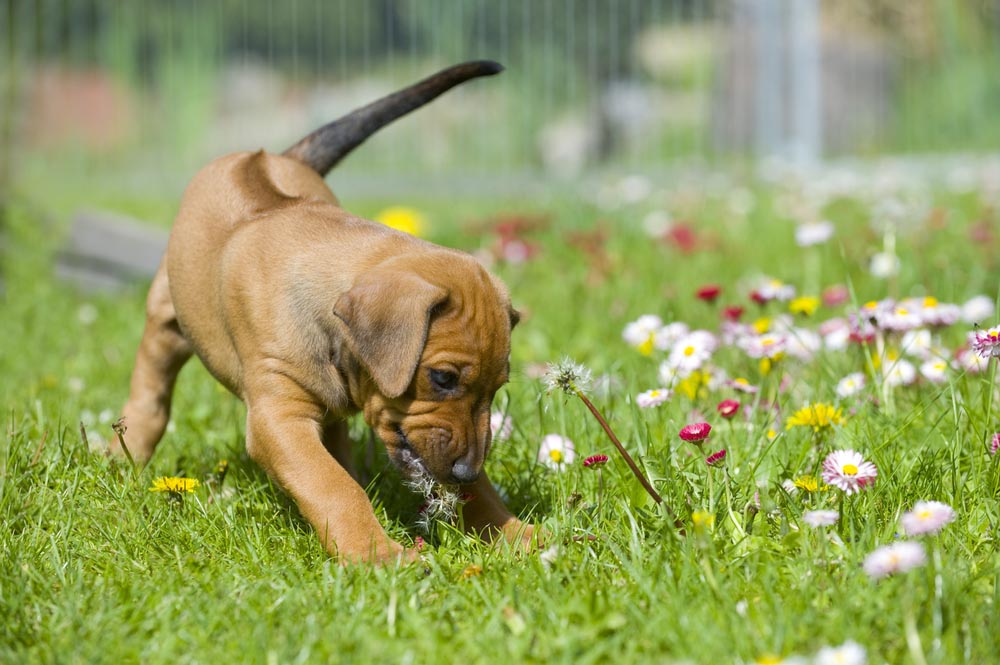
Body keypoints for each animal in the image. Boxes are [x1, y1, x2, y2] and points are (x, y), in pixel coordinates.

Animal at [118, 59, 536, 564]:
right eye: (442, 378)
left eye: (497, 388)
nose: (465, 472)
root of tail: (278, 155)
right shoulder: (278, 416)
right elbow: (330, 484)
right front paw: (376, 553)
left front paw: (514, 532)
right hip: (167, 311)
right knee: (152, 386)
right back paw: (125, 451)